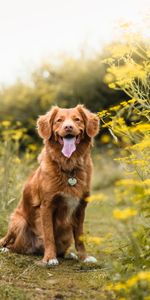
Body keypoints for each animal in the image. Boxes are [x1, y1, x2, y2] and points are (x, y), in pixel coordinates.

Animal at [0, 105, 99, 264]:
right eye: (59, 120)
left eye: (77, 119)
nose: (68, 127)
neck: (69, 167)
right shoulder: (46, 205)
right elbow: (49, 235)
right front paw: (50, 258)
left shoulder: (80, 208)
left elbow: (80, 237)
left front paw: (84, 257)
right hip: (19, 221)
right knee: (10, 244)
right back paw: (6, 249)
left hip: (66, 233)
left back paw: (68, 254)